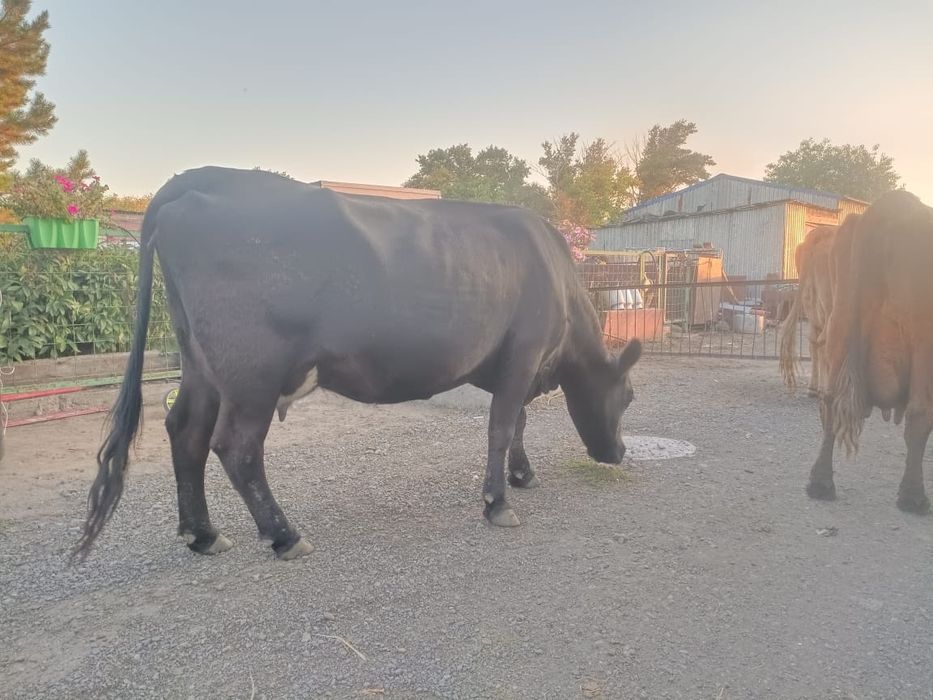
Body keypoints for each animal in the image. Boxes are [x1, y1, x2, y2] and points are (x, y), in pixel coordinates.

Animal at [73, 166, 642, 561]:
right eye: (630, 396)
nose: (617, 454)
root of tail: (199, 176)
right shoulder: (522, 355)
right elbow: (502, 427)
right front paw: (498, 502)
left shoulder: (514, 366)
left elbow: (518, 421)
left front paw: (522, 476)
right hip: (252, 373)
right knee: (236, 447)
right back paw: (285, 536)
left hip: (201, 364)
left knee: (185, 431)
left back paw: (203, 534)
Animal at [779, 223, 843, 396]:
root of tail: (819, 233)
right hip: (830, 306)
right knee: (824, 342)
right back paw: (827, 389)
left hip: (812, 305)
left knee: (814, 342)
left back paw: (814, 388)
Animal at [805, 190, 933, 514]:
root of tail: (894, 205)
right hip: (923, 338)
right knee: (920, 412)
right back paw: (914, 497)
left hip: (839, 323)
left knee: (830, 403)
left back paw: (820, 483)